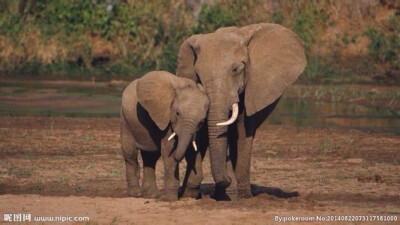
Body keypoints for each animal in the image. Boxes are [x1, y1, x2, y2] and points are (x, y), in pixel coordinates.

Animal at [121, 70, 209, 200]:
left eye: (202, 122)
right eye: (177, 113)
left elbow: (193, 150)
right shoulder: (165, 116)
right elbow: (169, 151)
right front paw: (170, 200)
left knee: (150, 157)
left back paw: (151, 195)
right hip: (126, 119)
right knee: (130, 154)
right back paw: (136, 194)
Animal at [176, 22, 306, 199]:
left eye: (235, 69)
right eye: (198, 75)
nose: (227, 178)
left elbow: (243, 130)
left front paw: (240, 196)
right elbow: (202, 133)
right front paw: (191, 193)